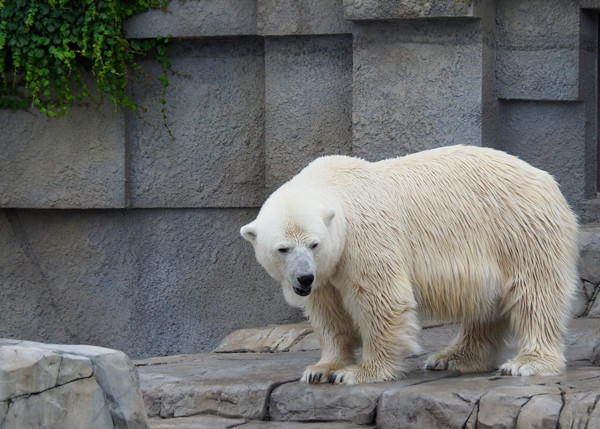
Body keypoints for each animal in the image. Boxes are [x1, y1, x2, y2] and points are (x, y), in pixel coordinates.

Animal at [240, 145, 580, 382]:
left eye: (314, 244)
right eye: (282, 249)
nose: (303, 279)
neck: (332, 184)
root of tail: (547, 180)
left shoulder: (363, 238)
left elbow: (381, 299)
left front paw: (360, 372)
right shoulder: (329, 269)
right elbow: (329, 313)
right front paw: (321, 368)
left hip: (519, 230)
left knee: (535, 294)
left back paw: (526, 363)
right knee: (485, 305)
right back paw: (453, 357)